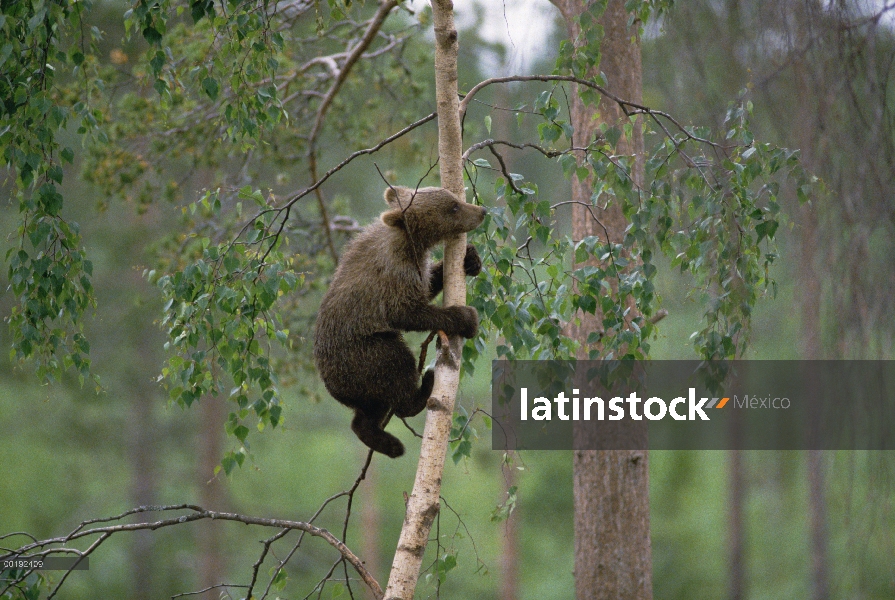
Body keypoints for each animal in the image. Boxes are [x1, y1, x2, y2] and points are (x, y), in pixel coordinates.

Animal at [314, 185, 486, 458]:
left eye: (454, 199)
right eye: (453, 207)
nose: (482, 211)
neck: (411, 242)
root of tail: (336, 389)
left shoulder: (417, 266)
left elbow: (428, 283)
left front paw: (471, 258)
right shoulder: (394, 273)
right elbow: (407, 311)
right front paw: (467, 317)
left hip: (365, 385)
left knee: (368, 413)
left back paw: (389, 443)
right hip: (364, 354)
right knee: (397, 364)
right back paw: (424, 386)